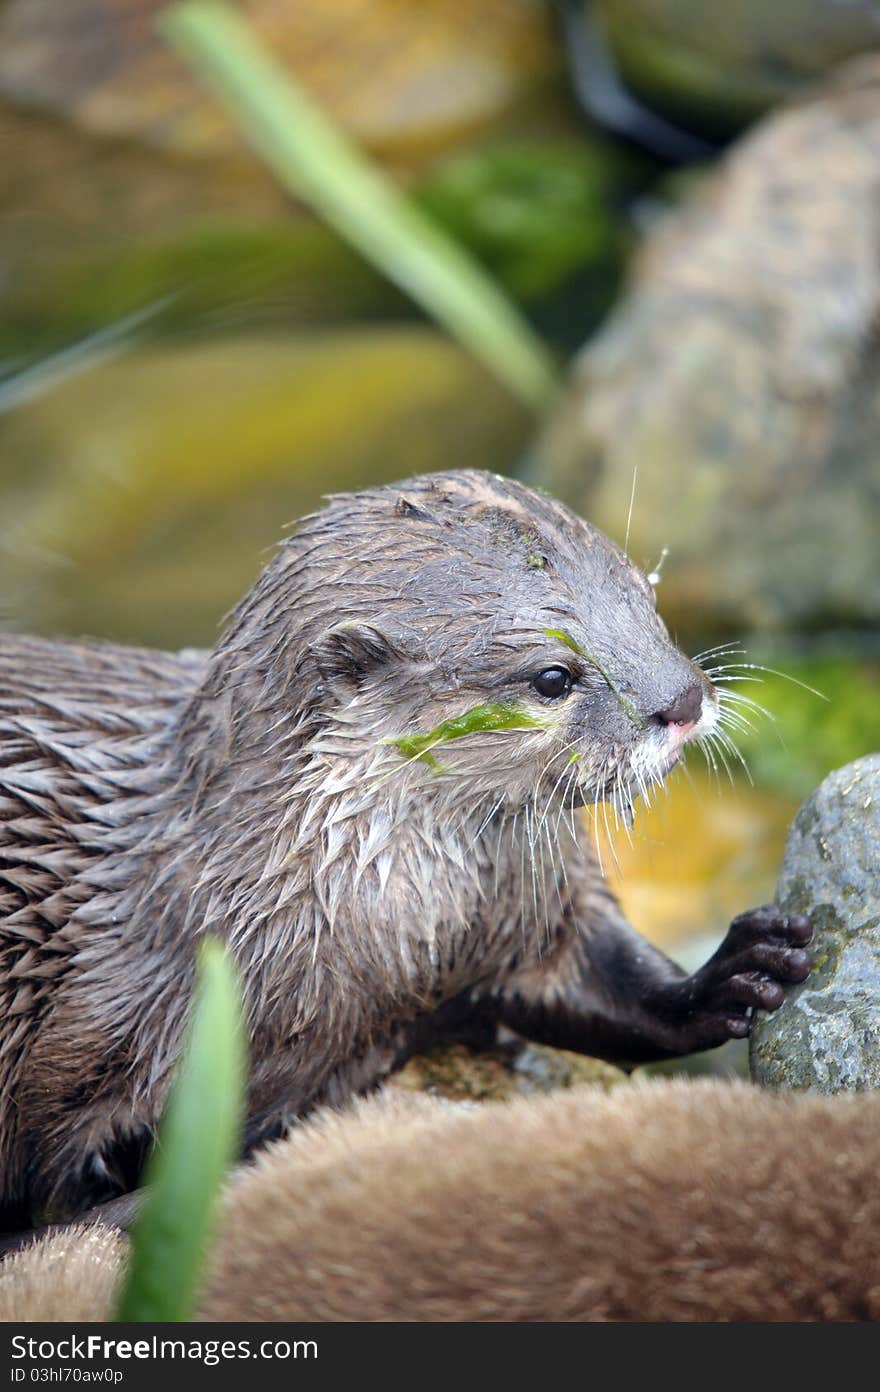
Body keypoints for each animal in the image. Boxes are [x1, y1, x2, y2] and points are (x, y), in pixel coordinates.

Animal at [0, 473, 813, 1224]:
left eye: (647, 600)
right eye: (553, 677)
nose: (683, 701)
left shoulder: (532, 911)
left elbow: (614, 987)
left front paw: (739, 973)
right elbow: (76, 1182)